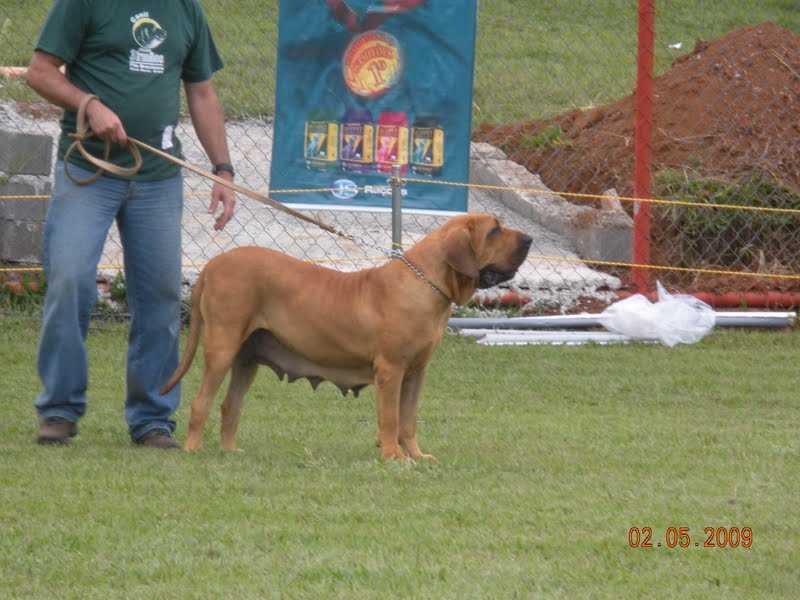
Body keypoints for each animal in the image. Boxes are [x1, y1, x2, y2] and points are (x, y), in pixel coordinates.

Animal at [160, 213, 532, 458]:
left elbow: (408, 419)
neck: (426, 281)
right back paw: (193, 450)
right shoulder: (391, 371)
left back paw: (230, 451)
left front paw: (416, 455)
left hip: (247, 359)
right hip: (222, 348)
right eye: (495, 230)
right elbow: (391, 417)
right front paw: (393, 456)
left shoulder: (416, 373)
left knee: (230, 406)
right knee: (201, 402)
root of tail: (212, 264)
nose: (529, 239)